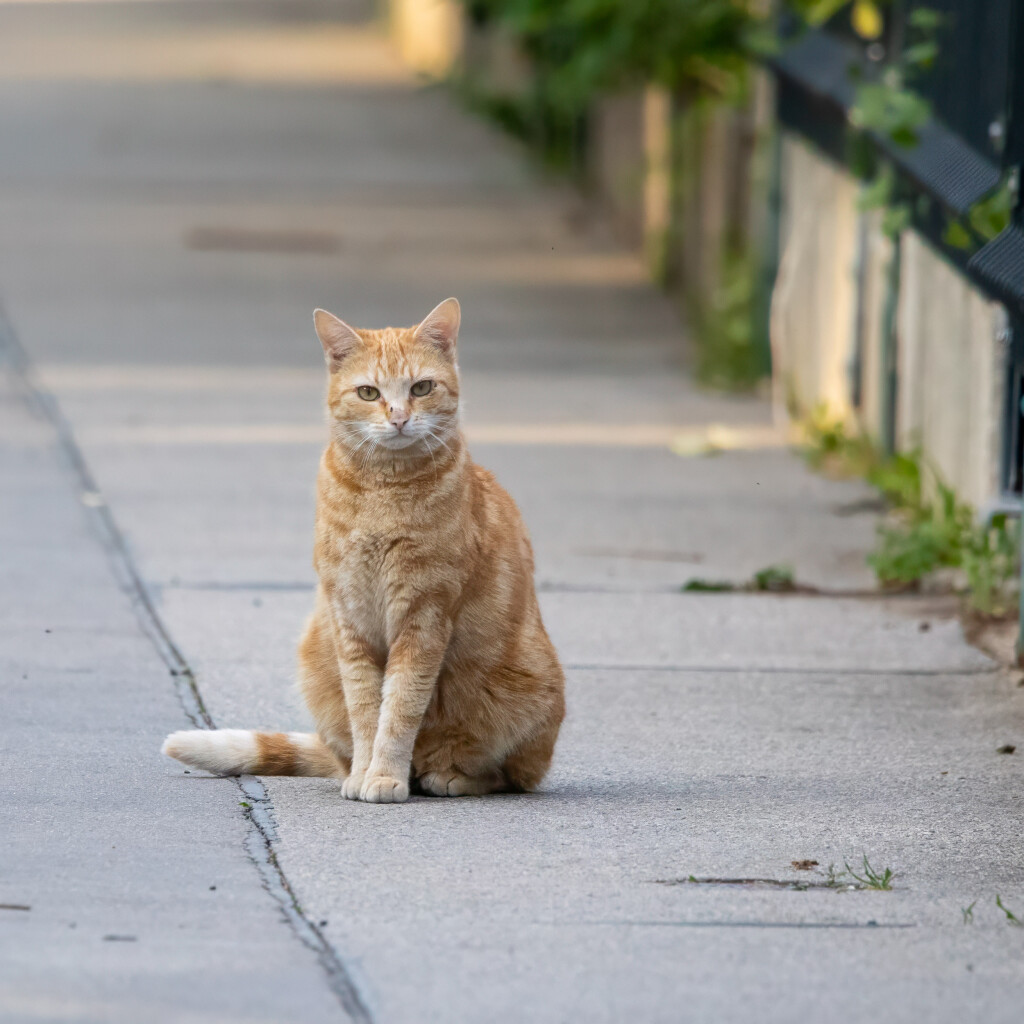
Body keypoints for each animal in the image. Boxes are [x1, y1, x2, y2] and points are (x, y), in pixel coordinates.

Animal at [165, 296, 569, 798]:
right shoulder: (348, 614)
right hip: (315, 656)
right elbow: (364, 707)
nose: (398, 416)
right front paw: (364, 772)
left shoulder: (424, 614)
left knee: (509, 775)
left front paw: (384, 775)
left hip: (525, 695)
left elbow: (399, 707)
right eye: (368, 393)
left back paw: (449, 774)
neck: (383, 489)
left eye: (421, 387)